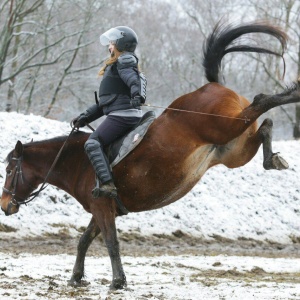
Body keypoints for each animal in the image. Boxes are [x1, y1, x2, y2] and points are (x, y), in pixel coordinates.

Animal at [0, 20, 300, 288]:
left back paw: (292, 94)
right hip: (234, 150)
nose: (4, 205)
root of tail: (213, 86)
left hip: (228, 128)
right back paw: (273, 158)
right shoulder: (102, 209)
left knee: (262, 101)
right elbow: (84, 240)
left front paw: (118, 282)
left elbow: (111, 243)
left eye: (10, 170)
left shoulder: (102, 208)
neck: (78, 162)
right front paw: (76, 277)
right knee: (264, 126)